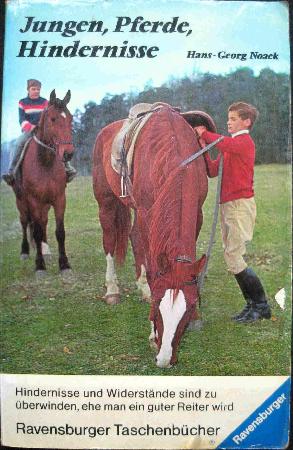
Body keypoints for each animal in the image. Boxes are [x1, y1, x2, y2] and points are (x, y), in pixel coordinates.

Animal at [13, 90, 74, 274]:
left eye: (71, 118)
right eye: (53, 119)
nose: (68, 154)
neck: (44, 163)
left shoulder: (59, 199)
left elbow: (59, 231)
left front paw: (64, 264)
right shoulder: (33, 200)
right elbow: (37, 232)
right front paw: (39, 266)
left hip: (45, 204)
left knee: (43, 221)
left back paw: (45, 249)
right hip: (22, 201)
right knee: (25, 222)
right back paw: (25, 251)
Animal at [93, 106, 208, 370]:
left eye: (189, 309)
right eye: (157, 305)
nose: (165, 359)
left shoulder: (197, 213)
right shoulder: (147, 213)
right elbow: (150, 259)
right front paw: (151, 333)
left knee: (133, 237)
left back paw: (141, 285)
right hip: (106, 203)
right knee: (109, 241)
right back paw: (112, 290)